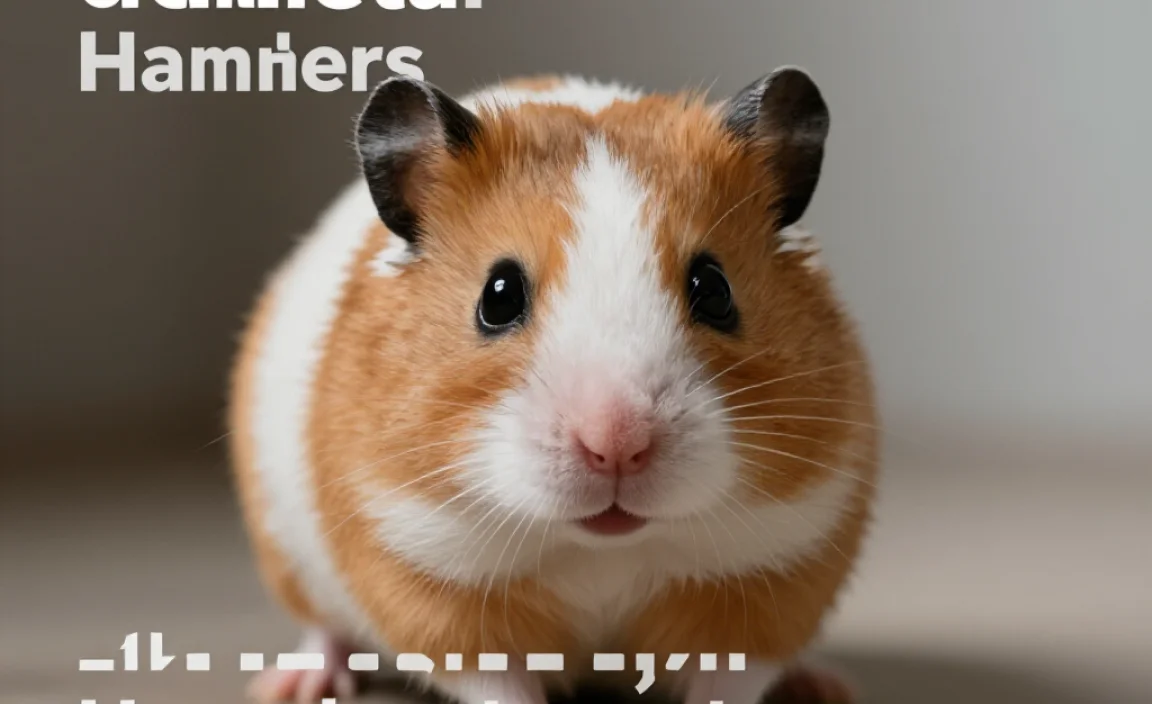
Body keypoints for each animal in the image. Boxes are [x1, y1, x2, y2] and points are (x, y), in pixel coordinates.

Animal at [229, 69, 878, 704]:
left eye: (715, 290)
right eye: (498, 295)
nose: (616, 445)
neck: (599, 550)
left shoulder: (777, 575)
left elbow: (730, 680)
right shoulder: (428, 577)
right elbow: (498, 683)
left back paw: (823, 684)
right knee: (324, 630)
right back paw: (292, 685)